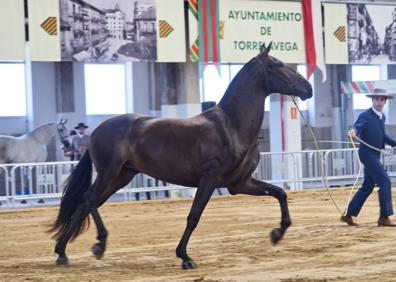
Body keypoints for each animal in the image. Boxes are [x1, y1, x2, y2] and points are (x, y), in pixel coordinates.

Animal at [51, 44, 312, 268]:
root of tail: (97, 131)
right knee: (88, 200)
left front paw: (277, 233)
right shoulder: (209, 180)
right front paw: (185, 257)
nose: (308, 89)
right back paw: (93, 246)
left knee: (88, 204)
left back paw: (65, 252)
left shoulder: (239, 184)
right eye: (278, 64)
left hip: (121, 176)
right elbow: (194, 216)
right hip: (109, 173)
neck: (231, 126)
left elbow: (280, 193)